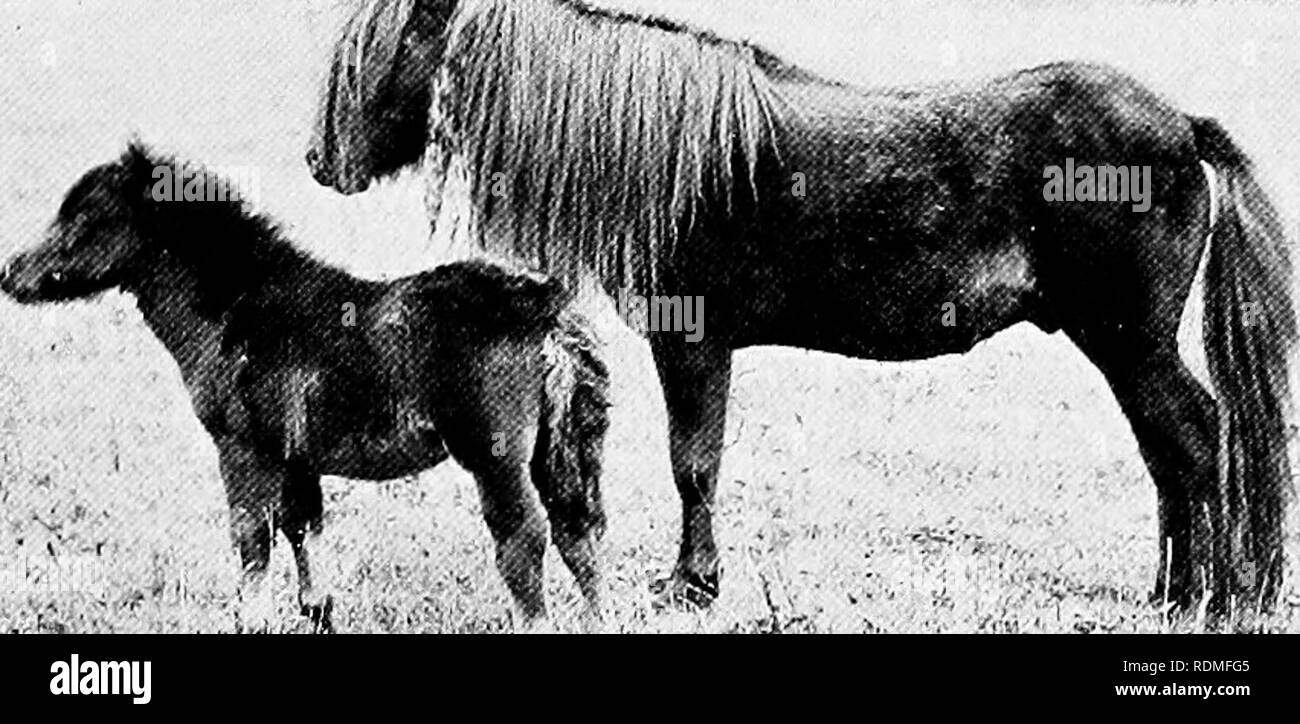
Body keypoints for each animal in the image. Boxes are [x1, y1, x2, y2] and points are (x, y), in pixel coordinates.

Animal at [1, 144, 608, 629]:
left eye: (86, 218)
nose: (9, 274)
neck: (236, 307)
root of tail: (547, 308)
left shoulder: (242, 447)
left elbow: (252, 537)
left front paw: (249, 619)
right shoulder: (296, 454)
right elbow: (303, 531)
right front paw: (317, 611)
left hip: (494, 456)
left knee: (525, 539)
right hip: (565, 446)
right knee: (581, 532)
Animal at [309, 0, 1294, 613]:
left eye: (386, 49)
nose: (321, 162)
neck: (676, 151)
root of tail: (1180, 125)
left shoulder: (693, 339)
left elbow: (694, 464)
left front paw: (692, 585)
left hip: (1131, 341)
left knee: (1196, 438)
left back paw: (1212, 598)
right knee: (1170, 452)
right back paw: (1173, 591)